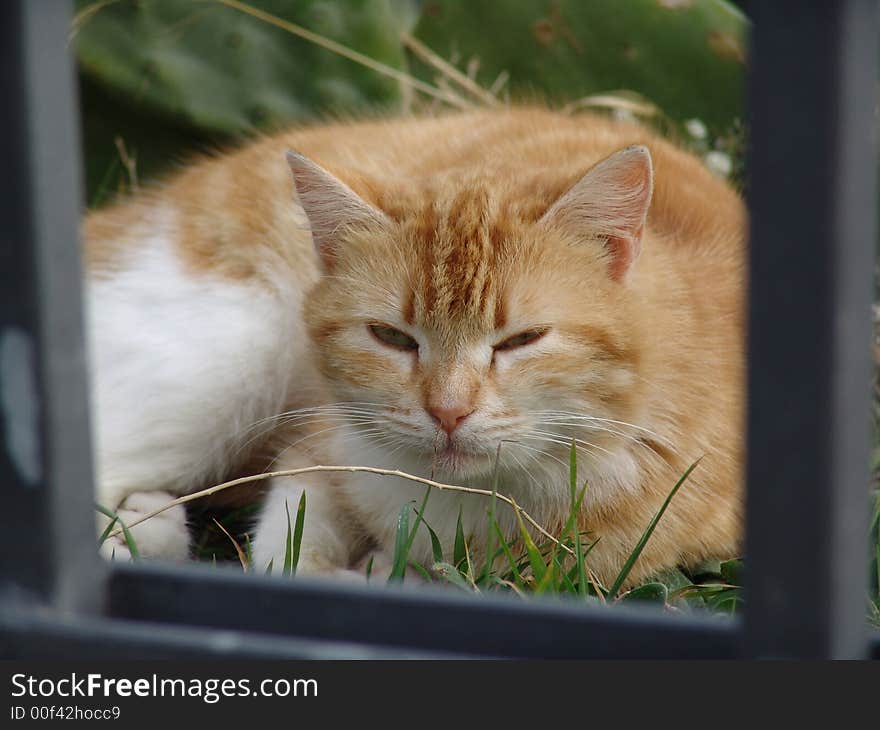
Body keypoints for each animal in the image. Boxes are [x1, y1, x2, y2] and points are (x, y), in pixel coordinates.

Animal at [86, 106, 744, 584]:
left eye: (523, 340)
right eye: (391, 337)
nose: (448, 411)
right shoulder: (317, 444)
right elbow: (290, 543)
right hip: (222, 364)